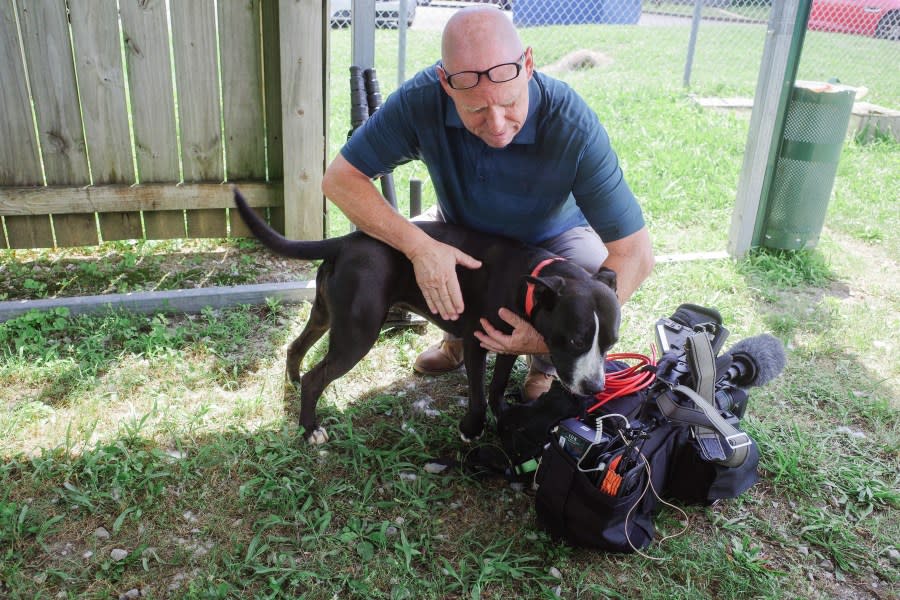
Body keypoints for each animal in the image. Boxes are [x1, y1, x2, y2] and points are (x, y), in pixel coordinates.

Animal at [232, 190, 620, 442]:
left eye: (611, 343)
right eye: (575, 340)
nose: (594, 388)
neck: (530, 277)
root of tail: (347, 240)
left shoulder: (509, 343)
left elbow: (496, 387)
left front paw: (504, 416)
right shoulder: (476, 345)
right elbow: (478, 393)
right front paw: (472, 428)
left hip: (326, 315)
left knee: (295, 347)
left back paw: (294, 384)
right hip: (357, 335)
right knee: (317, 378)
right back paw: (310, 429)